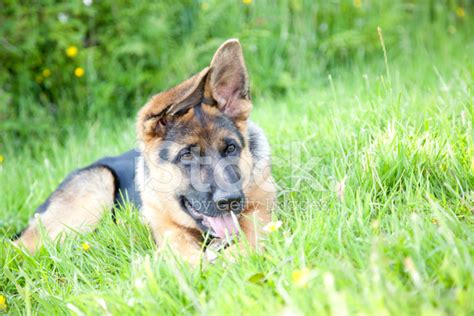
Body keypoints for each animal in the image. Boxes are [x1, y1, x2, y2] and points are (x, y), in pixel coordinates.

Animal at [14, 39, 276, 264]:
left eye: (230, 148)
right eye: (187, 155)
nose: (230, 200)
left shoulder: (261, 215)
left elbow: (249, 242)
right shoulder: (170, 234)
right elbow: (187, 256)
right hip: (96, 186)